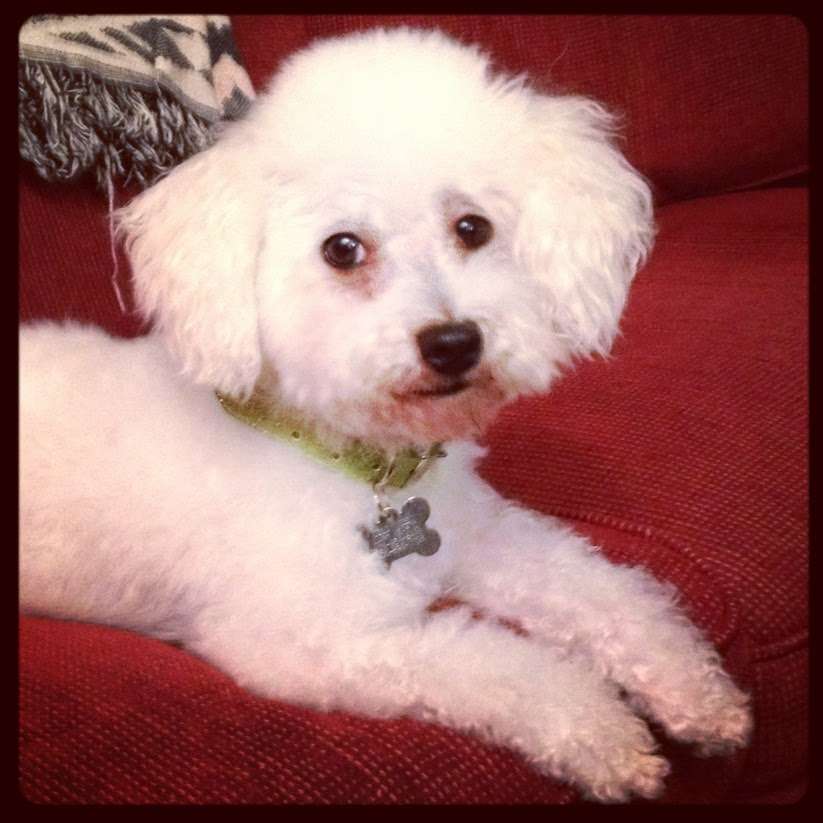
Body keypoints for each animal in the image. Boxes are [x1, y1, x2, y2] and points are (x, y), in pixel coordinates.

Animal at [20, 28, 751, 801]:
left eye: (472, 227)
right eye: (342, 248)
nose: (454, 342)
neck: (355, 462)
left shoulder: (485, 535)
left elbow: (601, 590)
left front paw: (691, 687)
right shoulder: (317, 645)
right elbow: (498, 664)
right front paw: (600, 729)